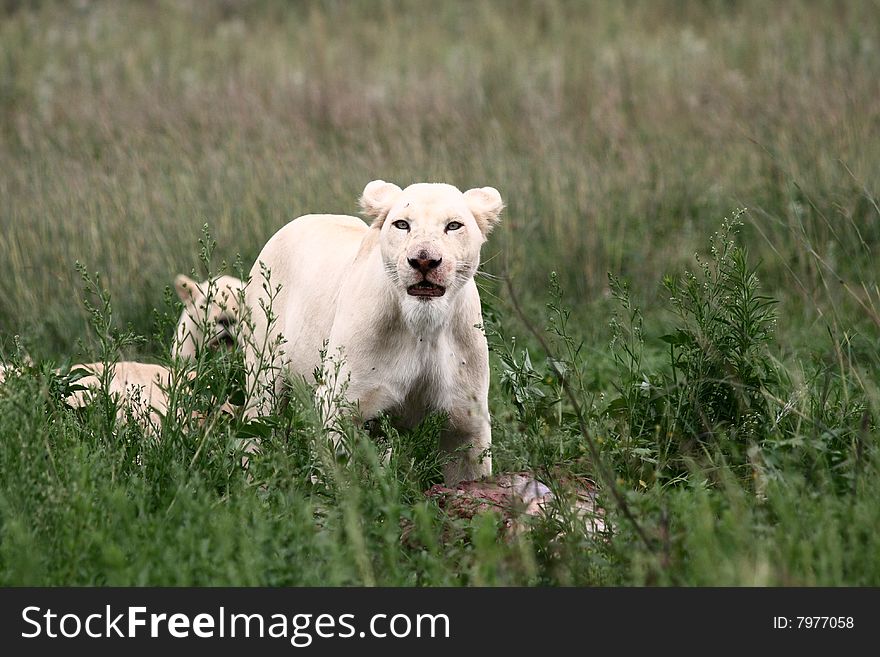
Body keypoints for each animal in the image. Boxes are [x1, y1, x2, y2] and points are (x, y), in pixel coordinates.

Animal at [244, 179, 506, 482]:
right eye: (402, 224)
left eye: (453, 225)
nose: (424, 260)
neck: (423, 329)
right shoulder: (338, 406)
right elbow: (339, 480)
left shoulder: (466, 420)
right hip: (263, 378)